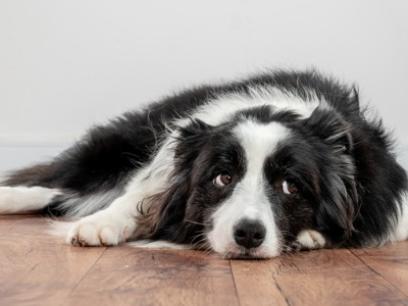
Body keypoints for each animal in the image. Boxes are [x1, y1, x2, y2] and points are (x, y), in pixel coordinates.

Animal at [0, 70, 408, 258]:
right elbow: (134, 198)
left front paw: (310, 235)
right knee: (53, 184)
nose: (249, 235)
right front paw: (99, 224)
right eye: (222, 178)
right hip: (114, 149)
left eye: (291, 186)